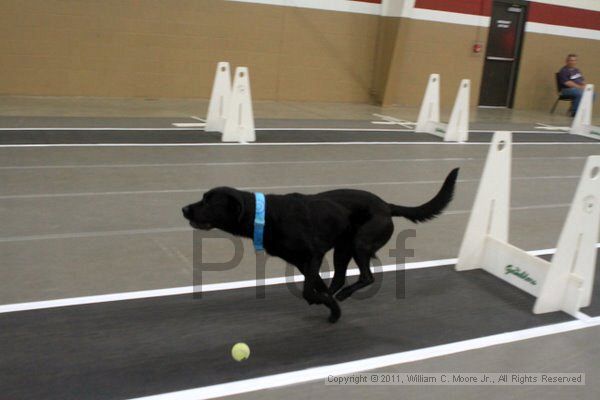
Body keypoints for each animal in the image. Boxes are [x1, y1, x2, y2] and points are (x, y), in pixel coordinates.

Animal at [183, 168, 460, 322]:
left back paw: (345, 294)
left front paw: (325, 305)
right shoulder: (304, 263)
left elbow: (308, 290)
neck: (266, 215)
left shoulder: (312, 256)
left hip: (360, 244)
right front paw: (329, 306)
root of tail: (387, 206)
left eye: (208, 201)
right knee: (338, 278)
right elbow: (316, 285)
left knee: (367, 276)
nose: (184, 209)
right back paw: (336, 295)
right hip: (342, 248)